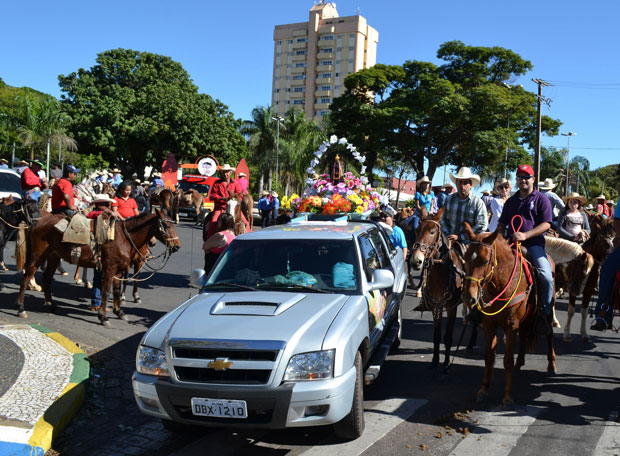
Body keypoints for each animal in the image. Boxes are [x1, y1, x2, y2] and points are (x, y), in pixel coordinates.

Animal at [16, 209, 182, 324]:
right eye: (165, 225)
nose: (177, 246)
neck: (123, 237)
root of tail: (38, 222)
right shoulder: (109, 269)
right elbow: (105, 292)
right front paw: (103, 317)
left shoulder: (119, 271)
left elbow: (116, 291)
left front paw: (119, 312)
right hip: (37, 257)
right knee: (26, 278)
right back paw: (21, 309)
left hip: (53, 257)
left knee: (47, 279)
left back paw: (50, 305)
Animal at [460, 223, 556, 404]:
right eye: (465, 258)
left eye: (485, 261)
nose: (469, 297)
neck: (501, 284)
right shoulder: (489, 324)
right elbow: (489, 357)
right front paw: (483, 389)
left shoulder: (511, 325)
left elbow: (507, 360)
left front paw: (507, 396)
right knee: (524, 335)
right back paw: (520, 363)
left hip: (547, 308)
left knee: (549, 334)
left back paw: (551, 365)